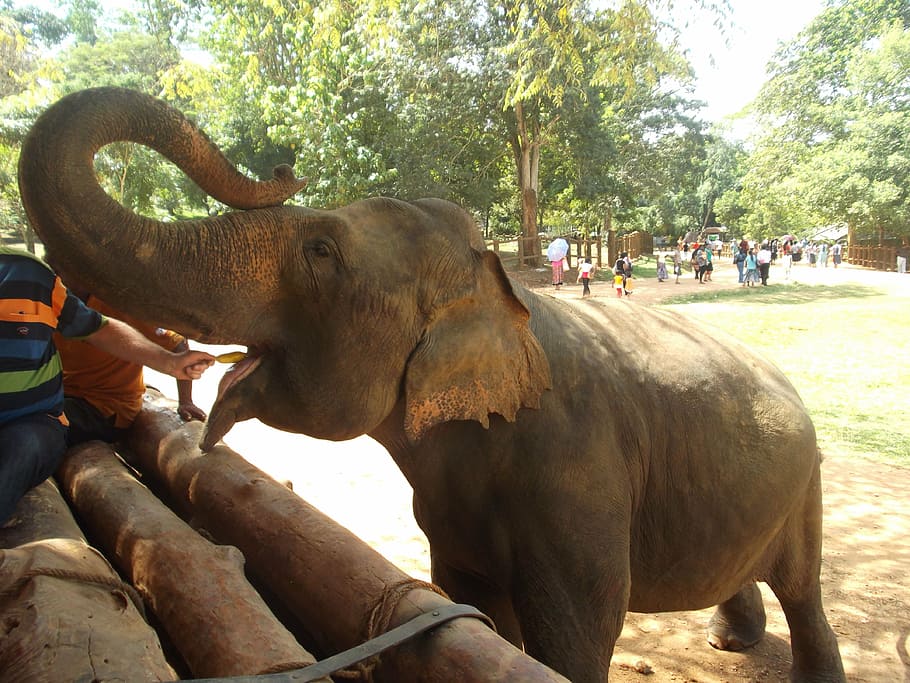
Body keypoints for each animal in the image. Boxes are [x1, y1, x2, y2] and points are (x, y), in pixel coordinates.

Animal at [18, 87, 845, 682]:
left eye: (321, 251)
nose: (284, 168)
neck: (497, 290)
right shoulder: (451, 512)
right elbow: (472, 602)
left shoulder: (579, 474)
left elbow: (577, 633)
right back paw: (729, 638)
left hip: (807, 482)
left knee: (804, 587)